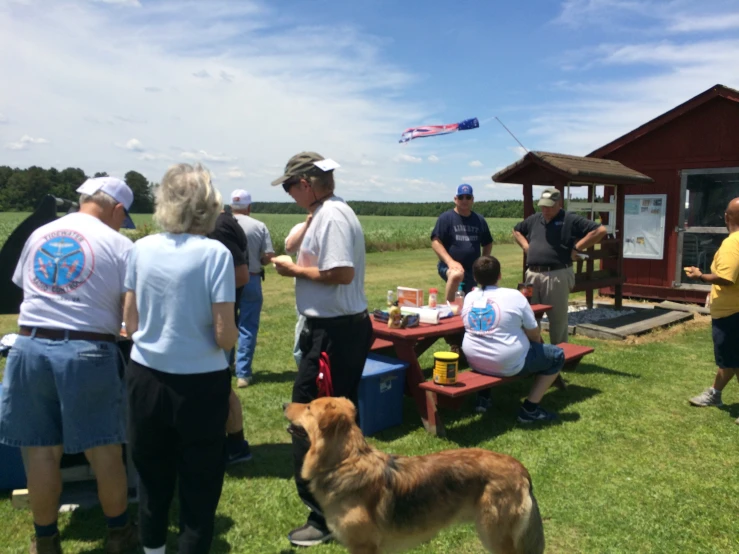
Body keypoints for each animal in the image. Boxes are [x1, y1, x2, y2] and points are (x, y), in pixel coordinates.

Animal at [286, 396, 548, 552]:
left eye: (308, 407)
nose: (284, 405)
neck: (346, 461)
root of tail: (521, 469)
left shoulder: (364, 546)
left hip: (495, 535)